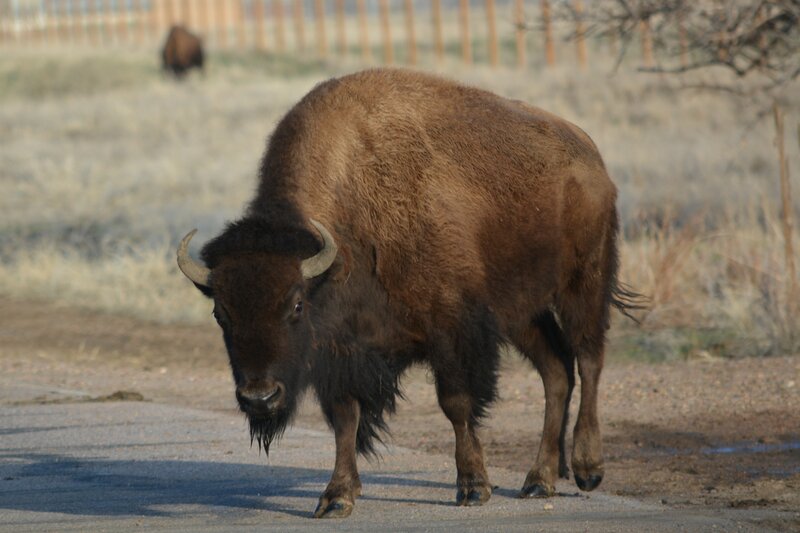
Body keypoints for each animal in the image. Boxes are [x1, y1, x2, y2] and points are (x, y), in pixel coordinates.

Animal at [177, 69, 639, 518]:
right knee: (556, 370)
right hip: (523, 311)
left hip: (583, 284)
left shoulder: (452, 330)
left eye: (295, 304)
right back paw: (539, 478)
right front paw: (336, 497)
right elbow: (345, 418)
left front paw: (473, 487)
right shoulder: (343, 352)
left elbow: (456, 404)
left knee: (588, 359)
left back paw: (587, 468)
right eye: (221, 314)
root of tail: (588, 155)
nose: (259, 397)